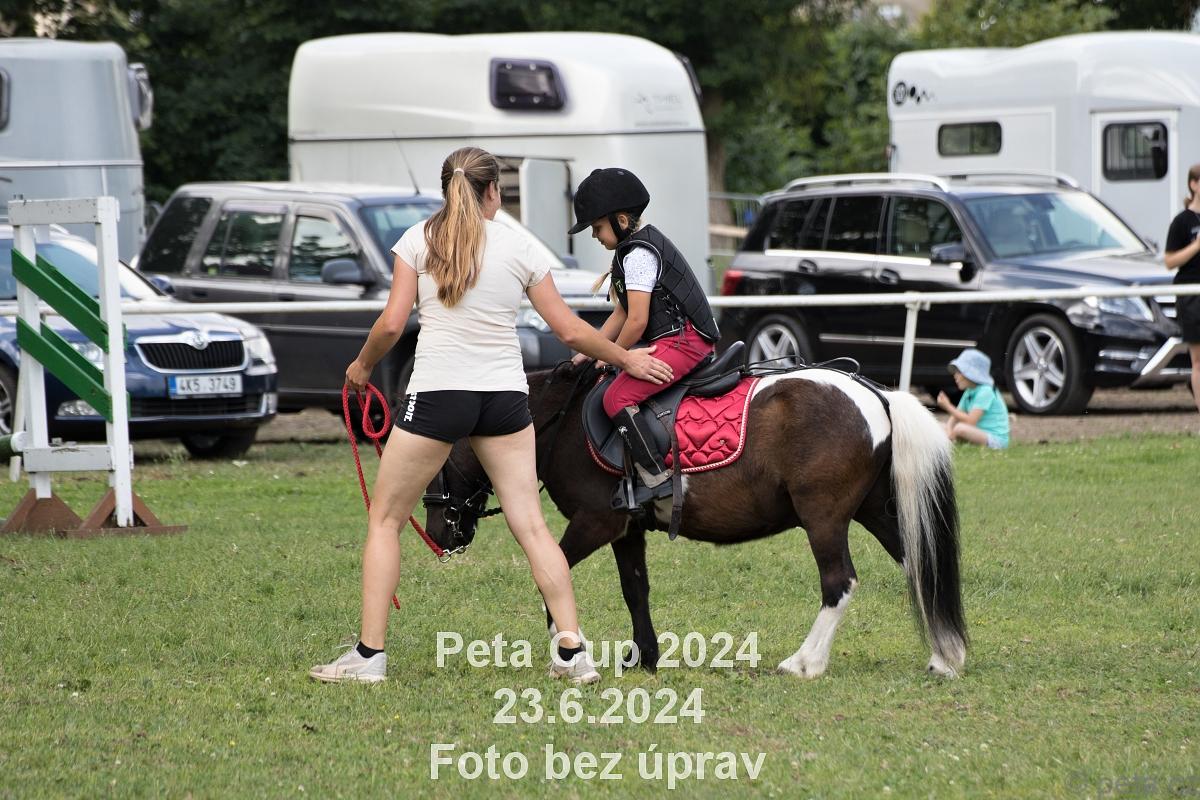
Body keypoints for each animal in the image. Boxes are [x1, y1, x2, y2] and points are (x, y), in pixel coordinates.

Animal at [419, 360, 967, 679]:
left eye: (437, 454)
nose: (438, 532)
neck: (565, 420)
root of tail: (876, 395)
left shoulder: (594, 524)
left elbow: (550, 575)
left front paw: (569, 656)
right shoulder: (626, 530)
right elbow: (635, 590)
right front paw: (644, 658)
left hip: (824, 518)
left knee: (839, 582)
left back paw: (805, 663)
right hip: (877, 511)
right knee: (921, 567)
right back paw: (944, 656)